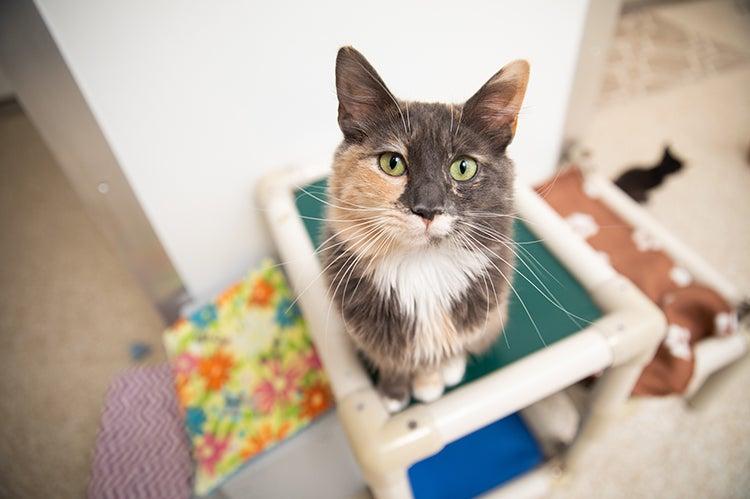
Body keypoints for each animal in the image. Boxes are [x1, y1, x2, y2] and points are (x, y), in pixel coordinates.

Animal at [322, 47, 528, 414]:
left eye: (463, 167)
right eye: (392, 163)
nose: (428, 208)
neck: (421, 268)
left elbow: (441, 353)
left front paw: (431, 382)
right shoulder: (366, 328)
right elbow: (390, 357)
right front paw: (393, 393)